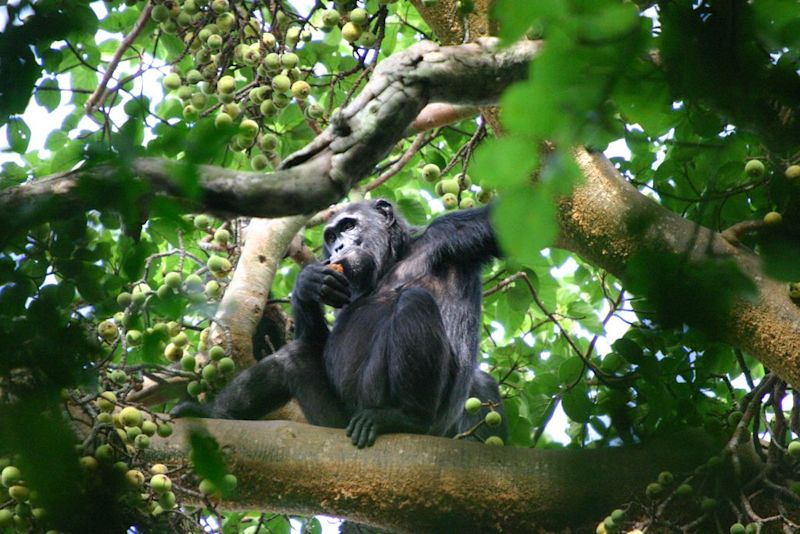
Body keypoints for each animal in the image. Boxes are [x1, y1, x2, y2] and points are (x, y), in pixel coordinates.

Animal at [173, 200, 506, 448]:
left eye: (348, 226)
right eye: (331, 237)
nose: (339, 248)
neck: (393, 259)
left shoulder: (451, 233)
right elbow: (316, 340)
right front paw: (307, 283)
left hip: (422, 418)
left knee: (415, 301)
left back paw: (405, 417)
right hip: (332, 421)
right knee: (292, 356)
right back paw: (210, 413)